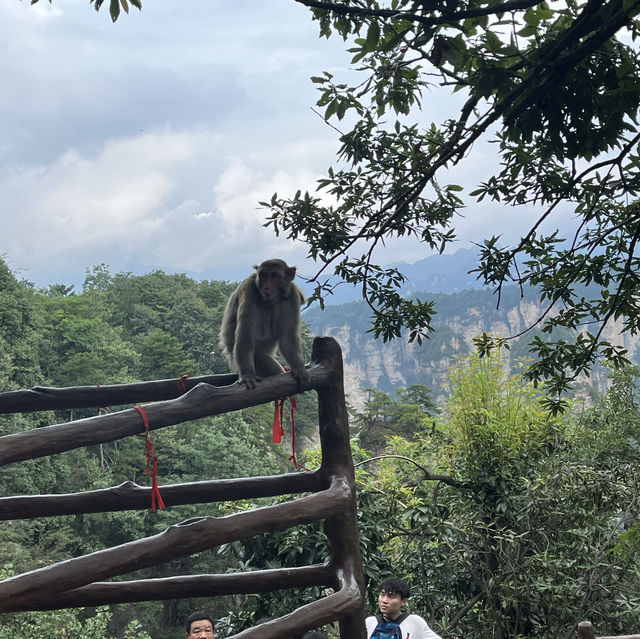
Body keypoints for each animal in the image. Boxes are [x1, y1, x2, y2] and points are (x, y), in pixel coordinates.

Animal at [220, 258, 310, 390]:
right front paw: (247, 375)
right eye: (263, 276)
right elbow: (245, 335)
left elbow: (287, 338)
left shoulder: (292, 296)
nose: (266, 287)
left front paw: (299, 369)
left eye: (273, 276)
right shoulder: (248, 291)